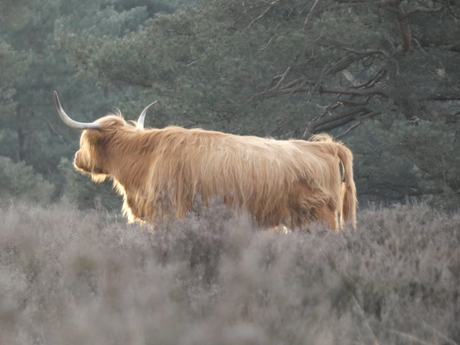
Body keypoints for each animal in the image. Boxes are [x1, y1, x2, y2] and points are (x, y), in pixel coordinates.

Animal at [54, 90, 356, 228]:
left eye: (83, 141)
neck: (145, 161)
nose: (76, 158)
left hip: (320, 219)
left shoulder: (168, 215)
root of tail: (326, 147)